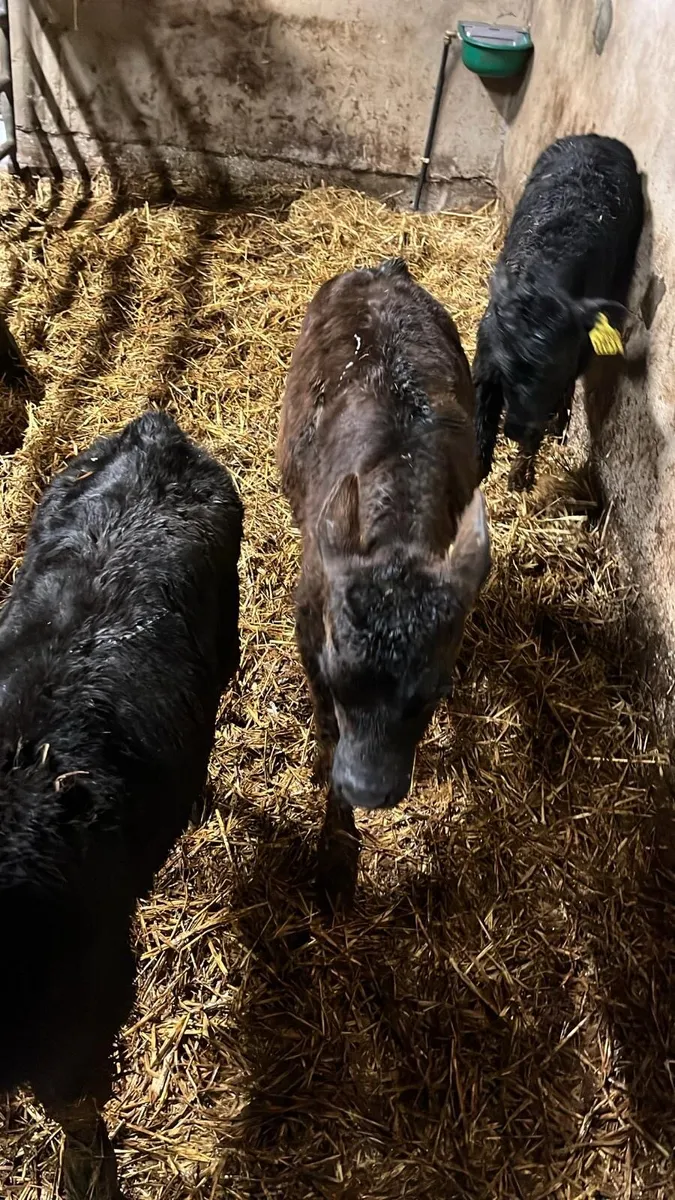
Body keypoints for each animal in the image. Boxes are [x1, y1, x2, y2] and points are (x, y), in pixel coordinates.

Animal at [277, 258, 491, 907]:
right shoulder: (310, 629)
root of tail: (382, 269)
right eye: (338, 680)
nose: (369, 789)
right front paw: (336, 857)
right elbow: (327, 732)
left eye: (432, 694)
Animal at [473, 134, 644, 491]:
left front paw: (520, 478)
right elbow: (481, 421)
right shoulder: (485, 360)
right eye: (507, 368)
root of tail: (597, 138)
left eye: (553, 368)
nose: (516, 428)